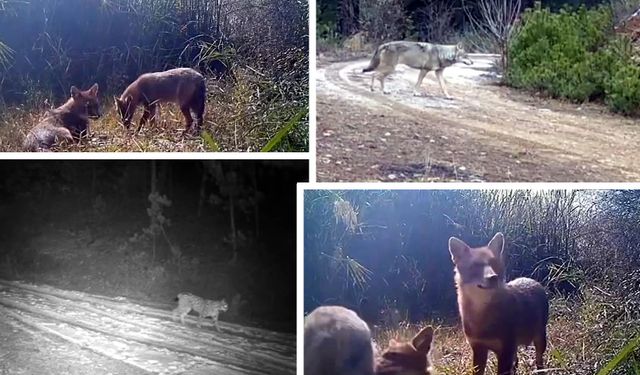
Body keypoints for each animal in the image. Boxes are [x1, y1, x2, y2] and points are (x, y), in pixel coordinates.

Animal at [448, 234, 548, 374]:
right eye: (475, 266)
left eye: (493, 263)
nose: (493, 277)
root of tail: (531, 279)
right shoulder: (478, 348)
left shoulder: (505, 350)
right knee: (516, 362)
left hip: (539, 339)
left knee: (539, 361)